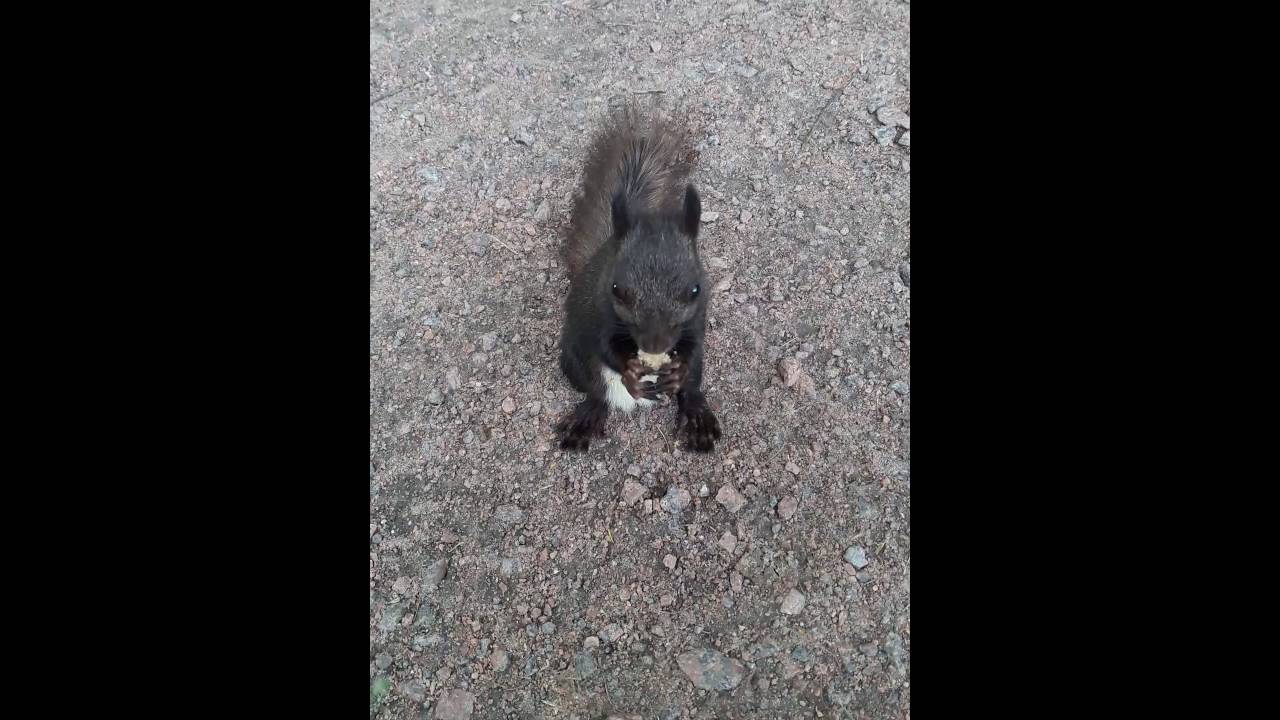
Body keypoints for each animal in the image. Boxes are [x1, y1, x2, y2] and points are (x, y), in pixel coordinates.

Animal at [555, 109, 722, 453]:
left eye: (695, 289)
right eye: (617, 289)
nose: (654, 345)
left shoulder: (698, 317)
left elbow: (692, 345)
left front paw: (678, 370)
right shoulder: (598, 312)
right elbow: (606, 347)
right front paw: (630, 370)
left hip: (700, 367)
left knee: (692, 386)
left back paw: (697, 414)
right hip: (573, 362)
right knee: (595, 391)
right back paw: (588, 416)